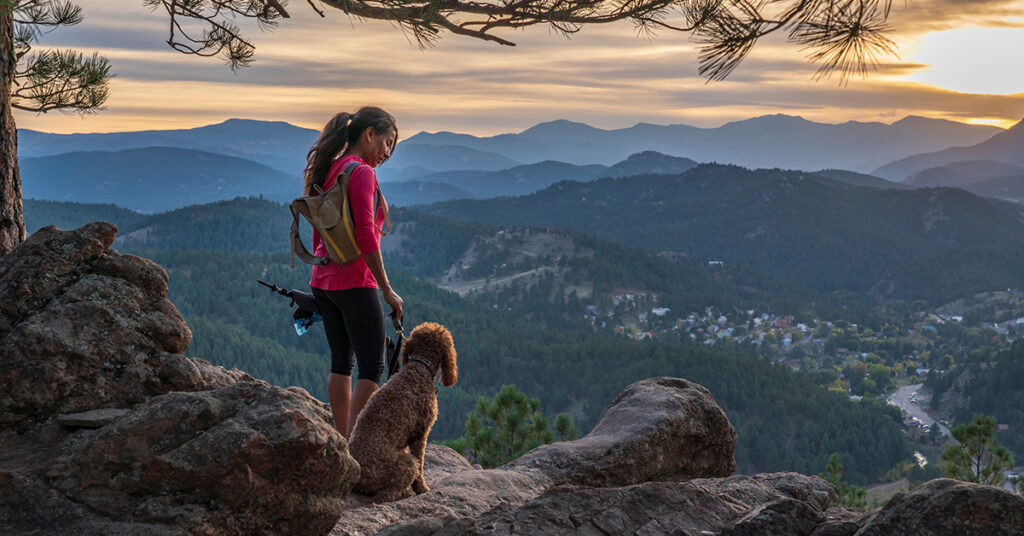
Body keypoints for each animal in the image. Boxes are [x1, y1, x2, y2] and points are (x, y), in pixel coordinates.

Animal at [348, 323, 456, 504]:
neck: (420, 367)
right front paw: (421, 488)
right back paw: (405, 492)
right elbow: (421, 463)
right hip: (405, 463)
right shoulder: (420, 435)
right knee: (387, 494)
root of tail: (358, 478)